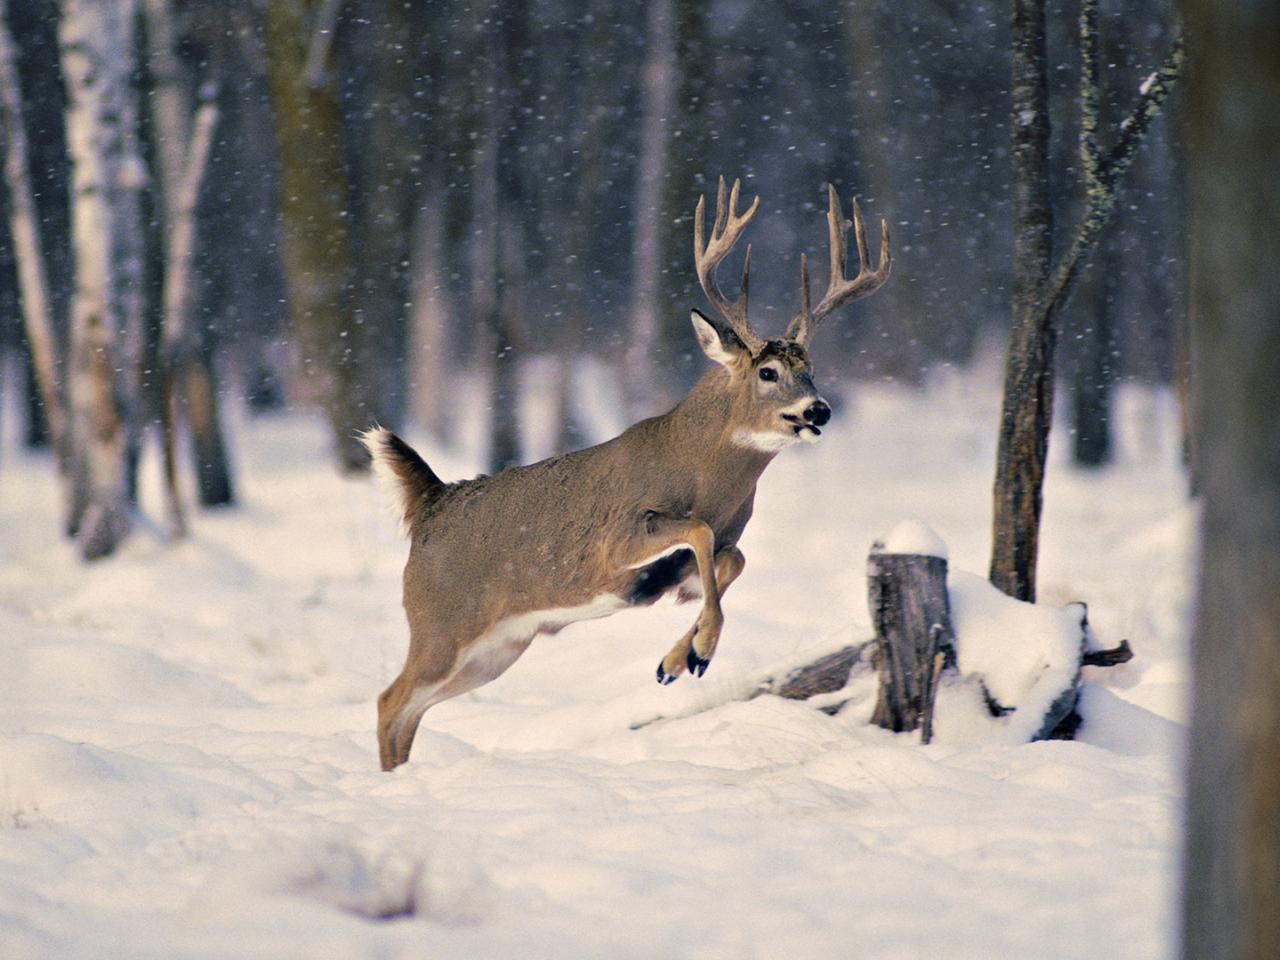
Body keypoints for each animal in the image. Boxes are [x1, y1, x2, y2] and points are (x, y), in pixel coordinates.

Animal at [360, 176, 890, 773]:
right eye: (769, 372)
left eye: (812, 369)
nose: (818, 409)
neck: (703, 474)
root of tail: (431, 502)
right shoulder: (614, 544)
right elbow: (699, 533)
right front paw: (699, 651)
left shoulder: (708, 554)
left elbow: (732, 559)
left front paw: (677, 660)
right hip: (440, 623)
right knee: (389, 701)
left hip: (496, 649)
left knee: (411, 710)